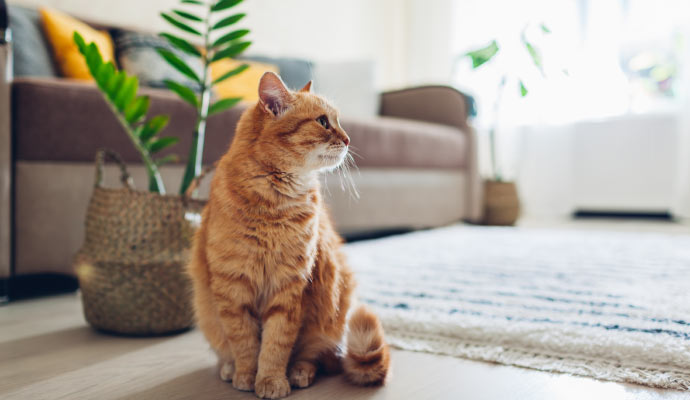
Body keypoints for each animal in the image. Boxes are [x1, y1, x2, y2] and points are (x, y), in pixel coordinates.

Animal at [188, 70, 390, 398]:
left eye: (338, 121)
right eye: (323, 122)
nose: (349, 139)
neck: (274, 204)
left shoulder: (290, 287)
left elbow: (275, 344)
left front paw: (271, 380)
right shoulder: (233, 289)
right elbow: (244, 343)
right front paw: (246, 375)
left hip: (333, 311)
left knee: (315, 356)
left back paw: (299, 372)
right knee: (226, 349)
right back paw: (228, 368)